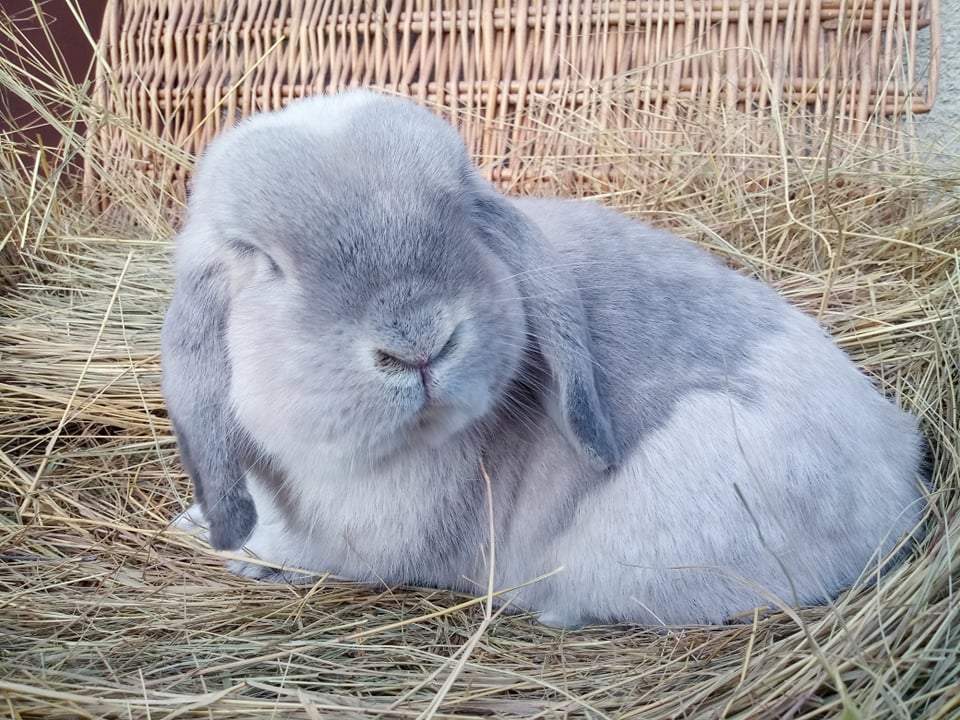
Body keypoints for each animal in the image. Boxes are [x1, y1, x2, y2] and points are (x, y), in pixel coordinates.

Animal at [161, 90, 928, 628]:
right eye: (265, 263)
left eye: (457, 212)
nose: (419, 343)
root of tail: (899, 487)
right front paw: (198, 525)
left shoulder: (355, 544)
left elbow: (296, 553)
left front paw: (228, 549)